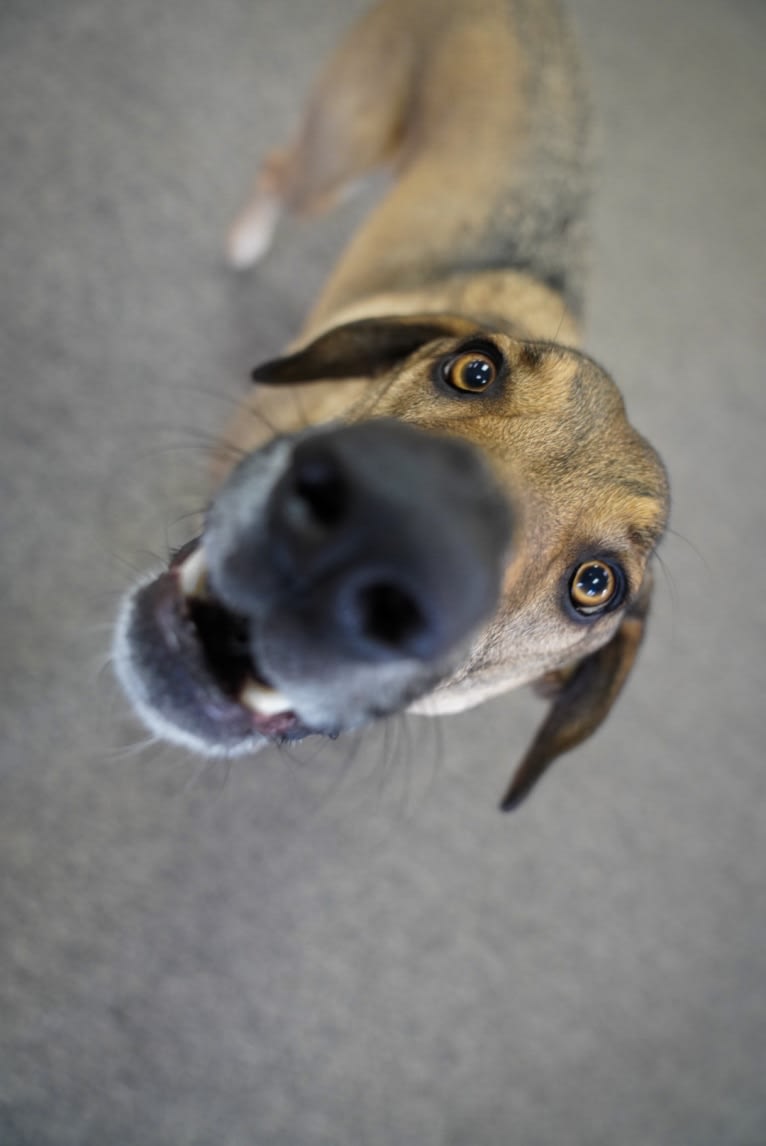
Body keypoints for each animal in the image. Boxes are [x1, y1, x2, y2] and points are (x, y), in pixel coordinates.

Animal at [110, 0, 665, 811]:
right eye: (474, 369)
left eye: (595, 586)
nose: (369, 535)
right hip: (338, 155)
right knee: (280, 167)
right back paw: (245, 240)